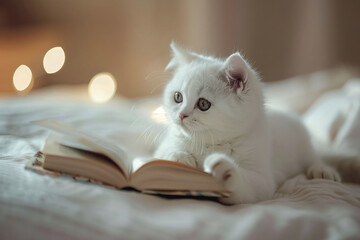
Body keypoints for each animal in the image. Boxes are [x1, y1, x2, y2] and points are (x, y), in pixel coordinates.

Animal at [153, 42, 338, 203]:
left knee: (313, 157)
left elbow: (248, 185)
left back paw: (323, 171)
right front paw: (178, 158)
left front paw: (225, 172)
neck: (208, 142)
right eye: (178, 97)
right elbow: (160, 155)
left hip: (302, 145)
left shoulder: (263, 179)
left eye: (203, 104)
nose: (181, 115)